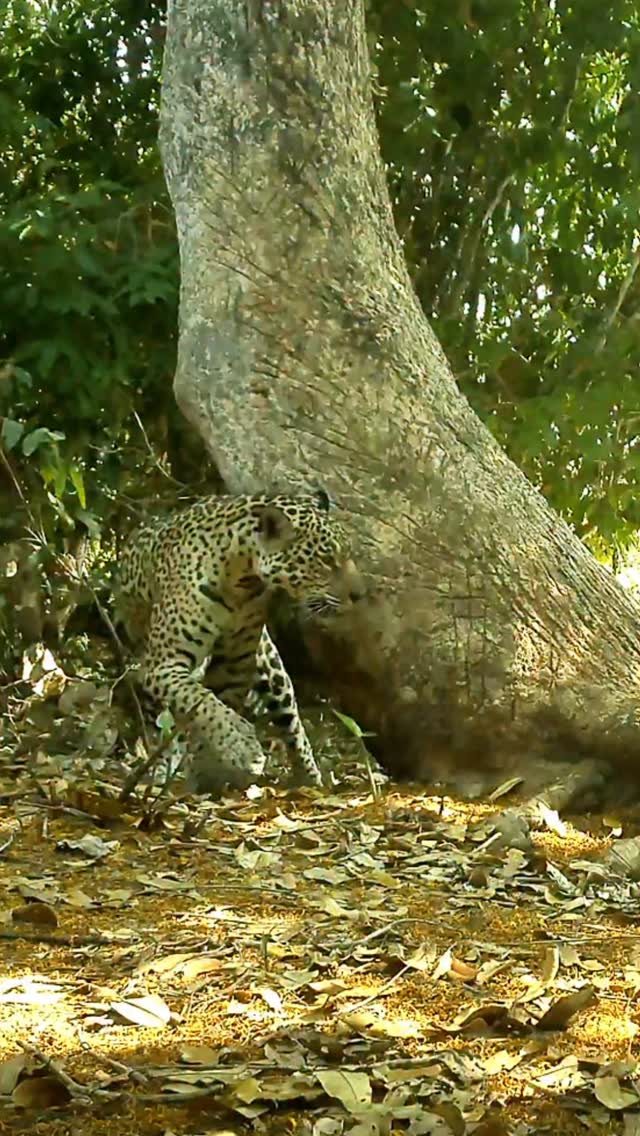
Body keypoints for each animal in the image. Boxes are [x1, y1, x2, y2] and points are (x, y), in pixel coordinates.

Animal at [115, 489, 362, 793]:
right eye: (327, 560)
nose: (360, 595)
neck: (242, 580)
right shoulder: (162, 664)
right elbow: (204, 704)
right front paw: (241, 748)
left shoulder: (232, 667)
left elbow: (216, 708)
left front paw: (217, 769)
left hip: (271, 668)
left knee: (291, 724)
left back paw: (309, 779)